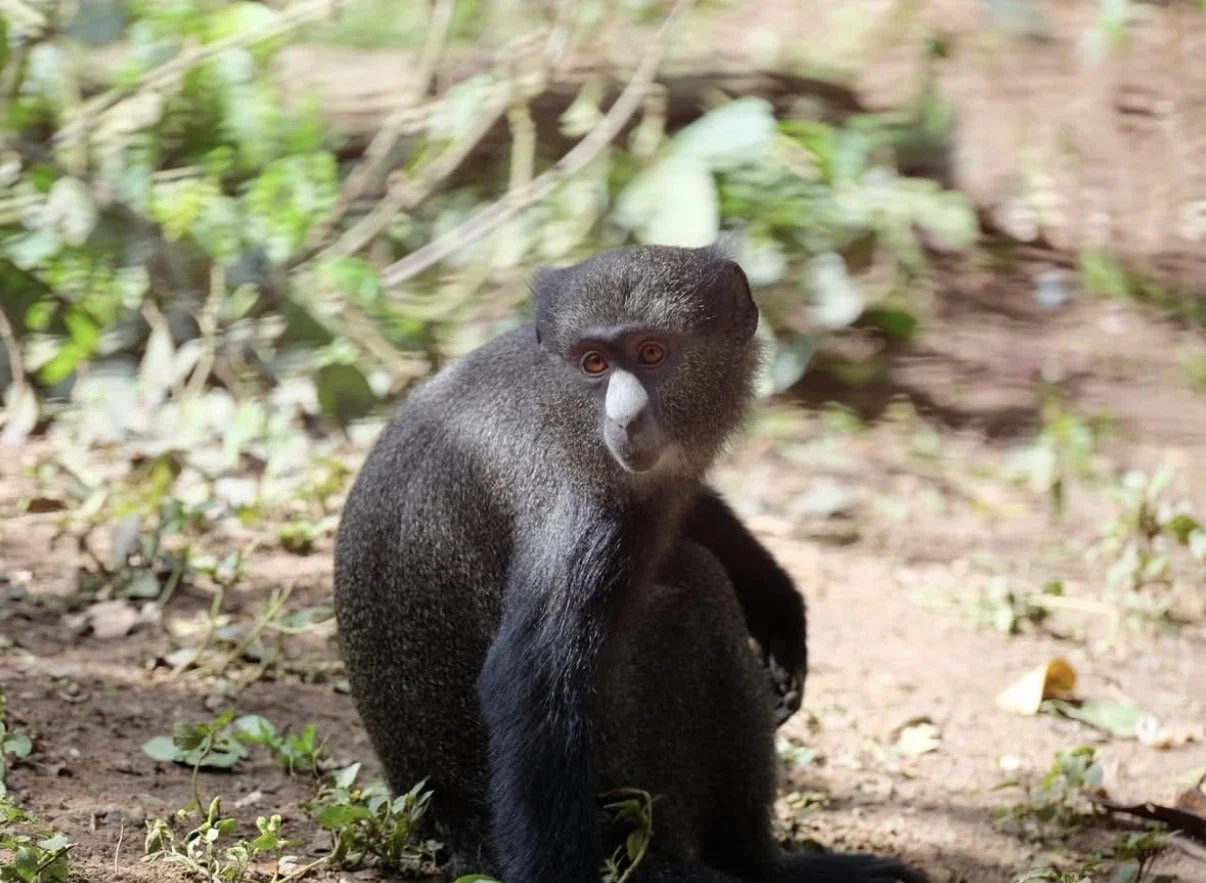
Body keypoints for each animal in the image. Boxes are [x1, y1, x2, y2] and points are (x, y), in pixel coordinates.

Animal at [333, 243, 924, 883]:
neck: (566, 403)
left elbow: (687, 512)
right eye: (593, 363)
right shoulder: (577, 510)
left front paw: (778, 605)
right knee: (695, 587)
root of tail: (445, 816)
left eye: (651, 353)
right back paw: (764, 867)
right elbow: (533, 692)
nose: (625, 418)